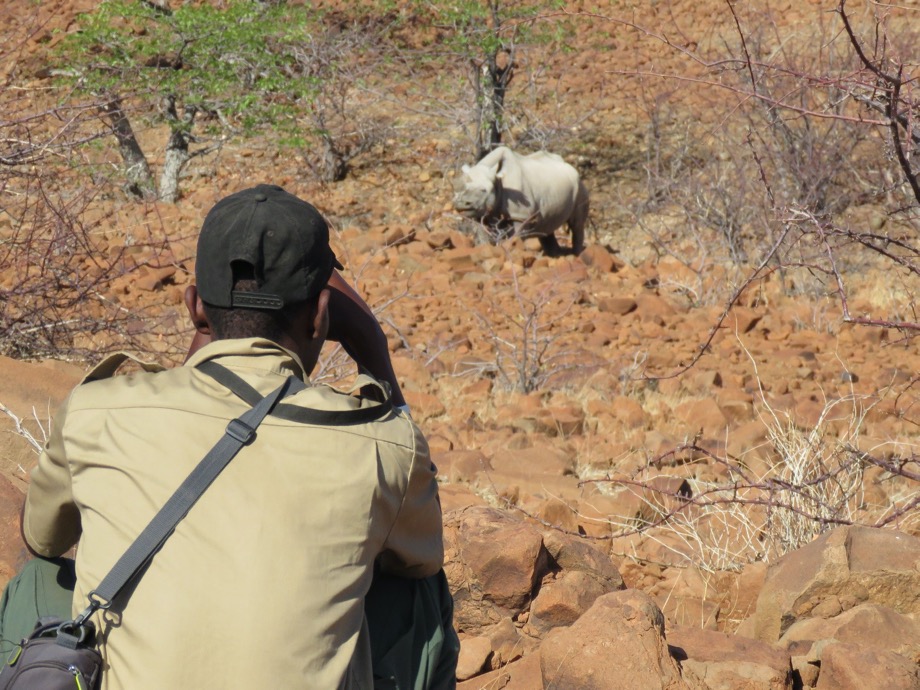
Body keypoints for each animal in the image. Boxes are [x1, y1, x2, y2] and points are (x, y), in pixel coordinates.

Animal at [453, 146, 590, 256]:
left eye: (483, 190)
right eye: (461, 188)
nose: (463, 203)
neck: (498, 180)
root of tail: (571, 167)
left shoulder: (520, 216)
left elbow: (516, 236)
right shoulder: (482, 214)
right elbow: (483, 238)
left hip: (579, 186)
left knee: (576, 224)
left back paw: (577, 255)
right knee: (547, 228)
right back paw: (555, 255)